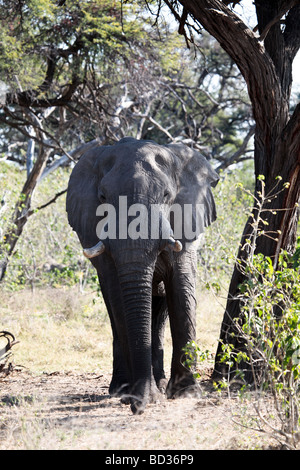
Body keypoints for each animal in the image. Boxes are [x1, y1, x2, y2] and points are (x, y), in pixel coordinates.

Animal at [66, 138, 218, 414]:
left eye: (167, 196)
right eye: (102, 197)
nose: (139, 406)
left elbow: (181, 288)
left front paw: (186, 394)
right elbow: (118, 295)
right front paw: (133, 397)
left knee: (159, 311)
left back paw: (159, 384)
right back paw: (121, 389)